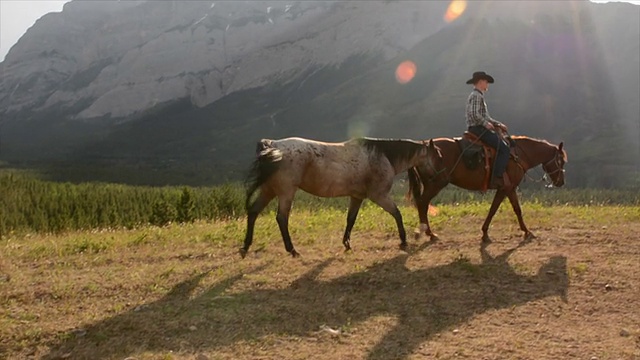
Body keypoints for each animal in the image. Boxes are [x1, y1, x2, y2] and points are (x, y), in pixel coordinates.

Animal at [240, 136, 440, 258]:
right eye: (437, 154)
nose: (437, 175)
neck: (383, 155)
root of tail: (273, 145)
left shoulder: (357, 197)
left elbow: (350, 219)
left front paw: (347, 243)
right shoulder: (378, 195)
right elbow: (397, 214)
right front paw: (403, 240)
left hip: (269, 190)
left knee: (253, 212)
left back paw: (245, 246)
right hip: (286, 192)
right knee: (282, 218)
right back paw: (292, 250)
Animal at [408, 136, 568, 243]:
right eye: (561, 161)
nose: (561, 182)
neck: (517, 155)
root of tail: (422, 148)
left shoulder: (506, 189)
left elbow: (502, 209)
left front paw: (486, 233)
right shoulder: (507, 188)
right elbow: (508, 209)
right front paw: (526, 231)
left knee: (421, 204)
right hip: (435, 184)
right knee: (422, 203)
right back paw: (429, 233)